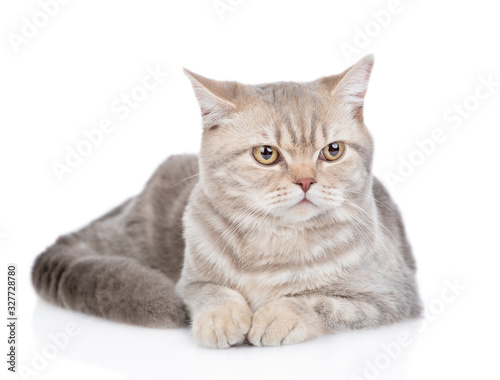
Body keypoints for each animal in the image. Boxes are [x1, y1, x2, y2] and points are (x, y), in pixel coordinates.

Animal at [31, 55, 422, 348]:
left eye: (333, 150)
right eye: (266, 154)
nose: (306, 181)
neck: (274, 245)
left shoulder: (393, 296)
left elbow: (319, 302)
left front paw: (279, 316)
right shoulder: (189, 282)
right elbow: (211, 291)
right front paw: (222, 318)